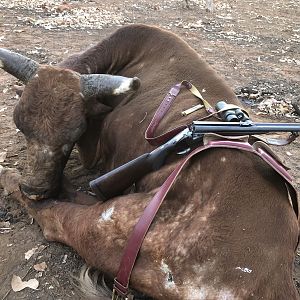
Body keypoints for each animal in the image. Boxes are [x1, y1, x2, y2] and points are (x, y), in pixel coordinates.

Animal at [0, 24, 300, 298]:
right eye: (21, 125)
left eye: (74, 132)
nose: (35, 187)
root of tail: (276, 280)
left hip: (106, 224)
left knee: (56, 216)